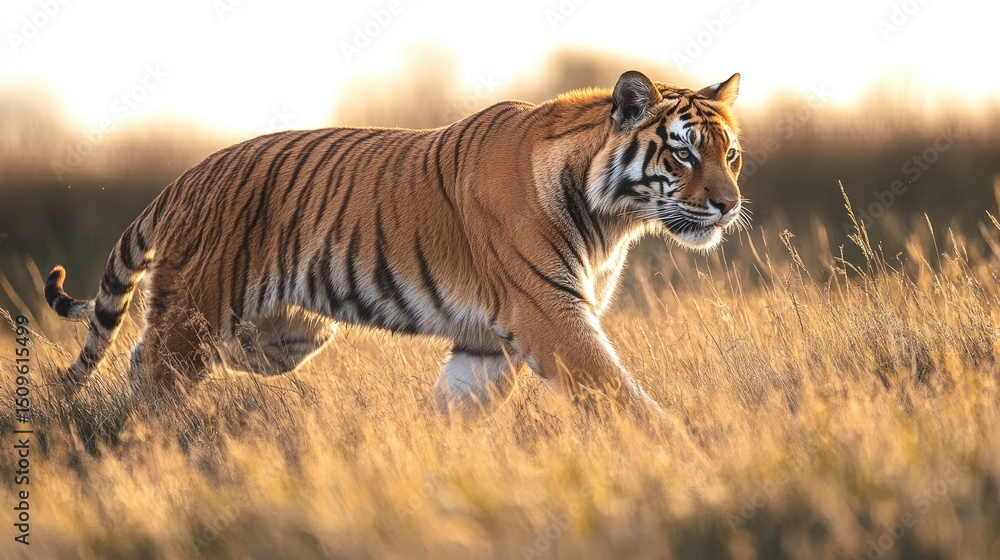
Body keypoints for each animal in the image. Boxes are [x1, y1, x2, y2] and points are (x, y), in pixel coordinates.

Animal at [45, 70, 745, 421]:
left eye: (729, 154)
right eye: (682, 153)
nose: (728, 204)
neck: (612, 219)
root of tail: (185, 178)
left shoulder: (487, 343)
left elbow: (457, 406)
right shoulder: (551, 315)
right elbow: (617, 392)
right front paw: (679, 452)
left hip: (290, 333)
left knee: (179, 353)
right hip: (197, 315)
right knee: (153, 372)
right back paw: (150, 439)